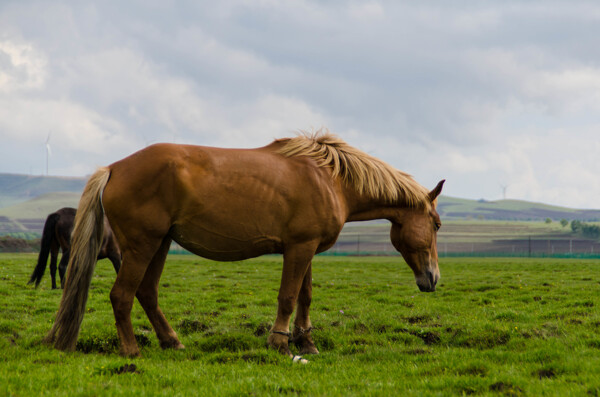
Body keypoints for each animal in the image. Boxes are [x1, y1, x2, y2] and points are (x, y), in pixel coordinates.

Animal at [44, 132, 442, 358]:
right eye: (437, 224)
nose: (433, 278)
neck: (329, 179)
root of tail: (113, 168)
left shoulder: (307, 249)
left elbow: (305, 297)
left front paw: (307, 343)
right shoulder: (299, 249)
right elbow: (288, 296)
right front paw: (279, 342)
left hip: (159, 245)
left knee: (146, 294)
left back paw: (172, 342)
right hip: (143, 247)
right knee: (122, 296)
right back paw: (131, 350)